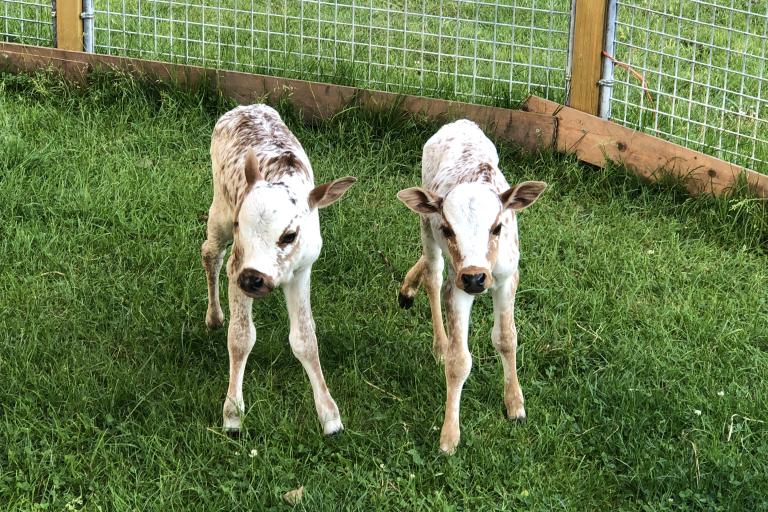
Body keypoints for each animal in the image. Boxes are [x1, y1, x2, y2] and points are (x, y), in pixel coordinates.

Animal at [198, 104, 354, 436]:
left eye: (290, 235)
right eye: (240, 224)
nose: (252, 279)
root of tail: (246, 107)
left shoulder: (303, 269)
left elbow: (305, 339)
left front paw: (329, 415)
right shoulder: (237, 264)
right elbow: (241, 336)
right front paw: (232, 414)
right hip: (219, 206)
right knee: (210, 252)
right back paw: (214, 316)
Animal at [396, 119, 544, 452]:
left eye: (498, 227)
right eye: (449, 228)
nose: (475, 278)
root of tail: (460, 122)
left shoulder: (507, 277)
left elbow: (506, 338)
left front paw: (515, 405)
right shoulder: (458, 285)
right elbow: (458, 360)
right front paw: (449, 436)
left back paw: (407, 287)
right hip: (425, 224)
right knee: (434, 274)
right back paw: (437, 340)